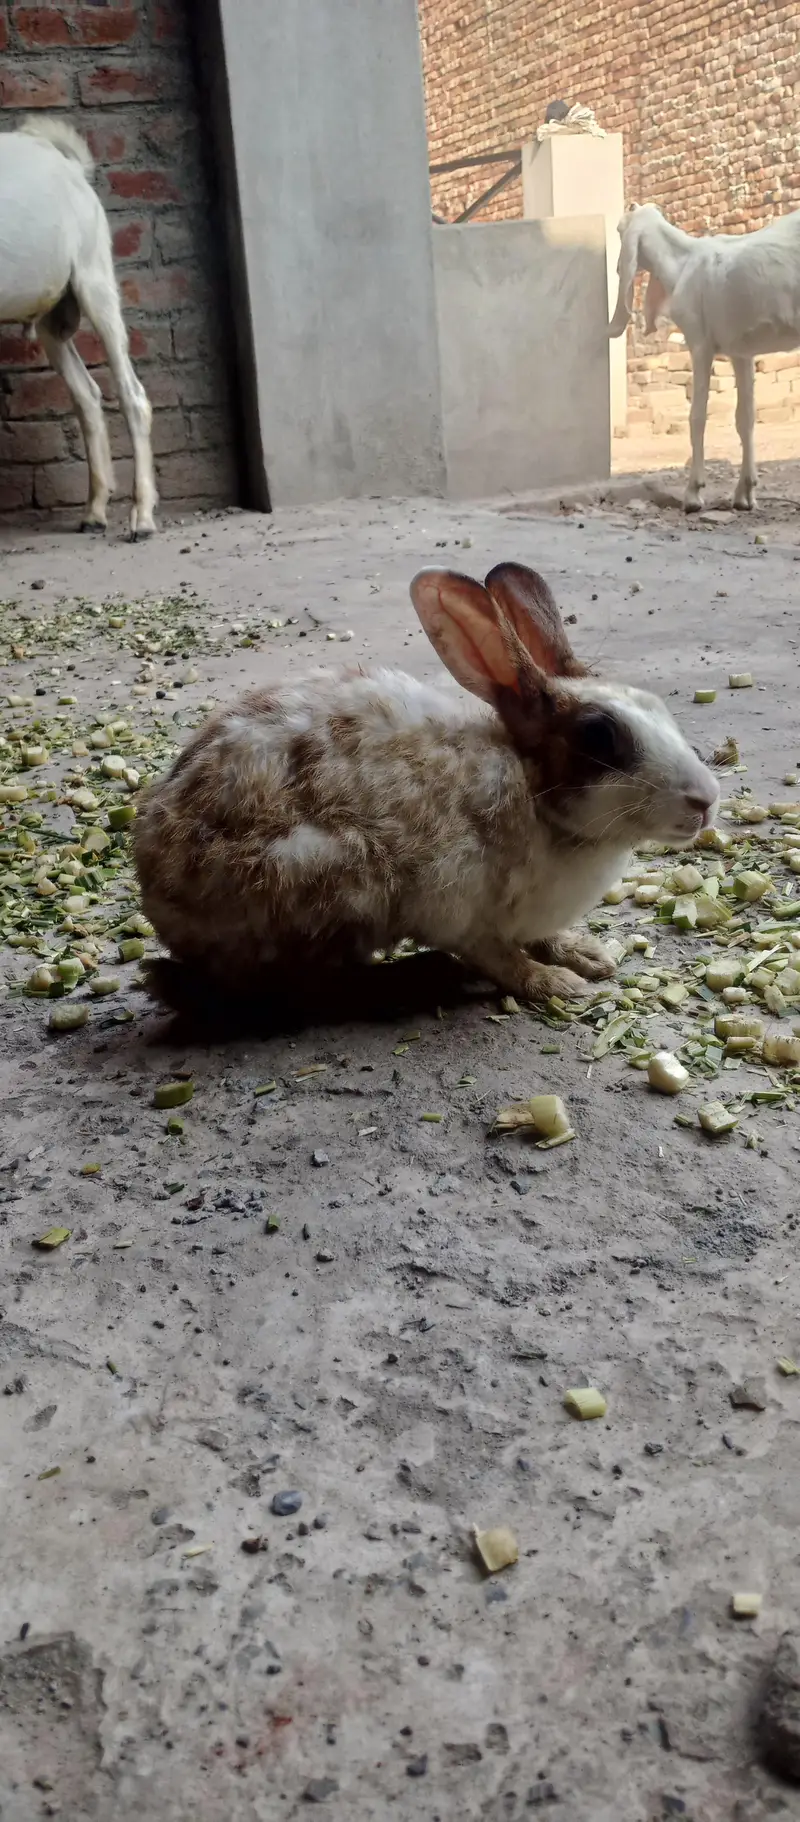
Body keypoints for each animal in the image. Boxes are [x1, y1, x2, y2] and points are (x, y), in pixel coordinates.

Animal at [133, 561, 719, 1011]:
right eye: (599, 736)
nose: (706, 802)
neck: (536, 799)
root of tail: (158, 897)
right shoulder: (457, 905)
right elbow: (498, 956)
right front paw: (560, 984)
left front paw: (589, 956)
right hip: (328, 880)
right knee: (310, 986)